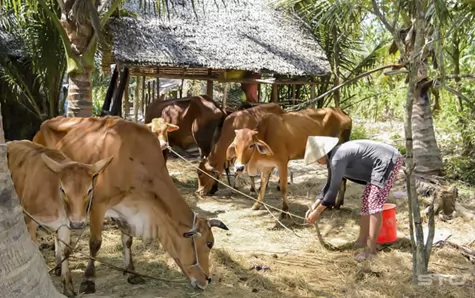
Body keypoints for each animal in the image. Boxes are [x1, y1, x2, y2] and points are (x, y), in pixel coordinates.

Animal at [6, 139, 113, 296]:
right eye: (63, 190)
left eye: (89, 190)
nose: (77, 224)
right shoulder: (29, 220)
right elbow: (35, 250)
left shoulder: (65, 223)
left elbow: (65, 250)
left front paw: (67, 285)